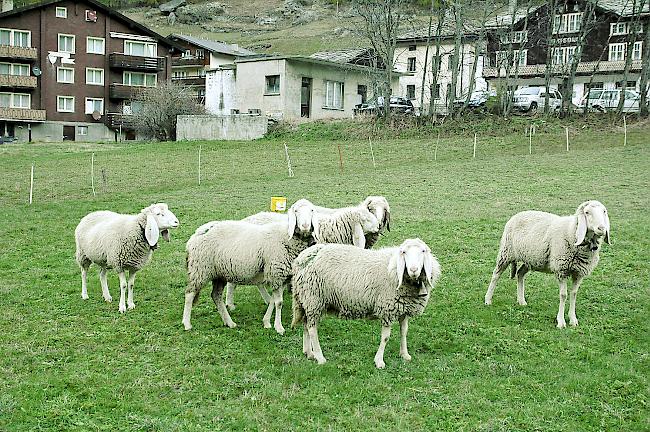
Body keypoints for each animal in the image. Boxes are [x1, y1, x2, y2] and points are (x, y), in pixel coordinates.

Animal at [290, 240, 438, 368]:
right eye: (404, 252)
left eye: (423, 251)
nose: (413, 269)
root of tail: (304, 257)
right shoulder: (387, 309)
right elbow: (385, 338)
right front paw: (379, 361)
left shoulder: (403, 309)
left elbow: (404, 332)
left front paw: (404, 354)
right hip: (314, 298)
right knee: (312, 329)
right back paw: (320, 357)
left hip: (307, 300)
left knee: (306, 325)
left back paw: (309, 353)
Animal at [484, 199, 612, 328]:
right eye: (587, 212)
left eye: (604, 211)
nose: (602, 228)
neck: (572, 232)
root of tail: (518, 214)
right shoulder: (561, 270)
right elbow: (563, 295)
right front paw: (561, 322)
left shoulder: (579, 272)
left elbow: (574, 293)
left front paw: (573, 319)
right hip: (506, 252)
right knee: (496, 275)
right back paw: (488, 299)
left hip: (530, 258)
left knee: (520, 273)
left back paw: (521, 301)